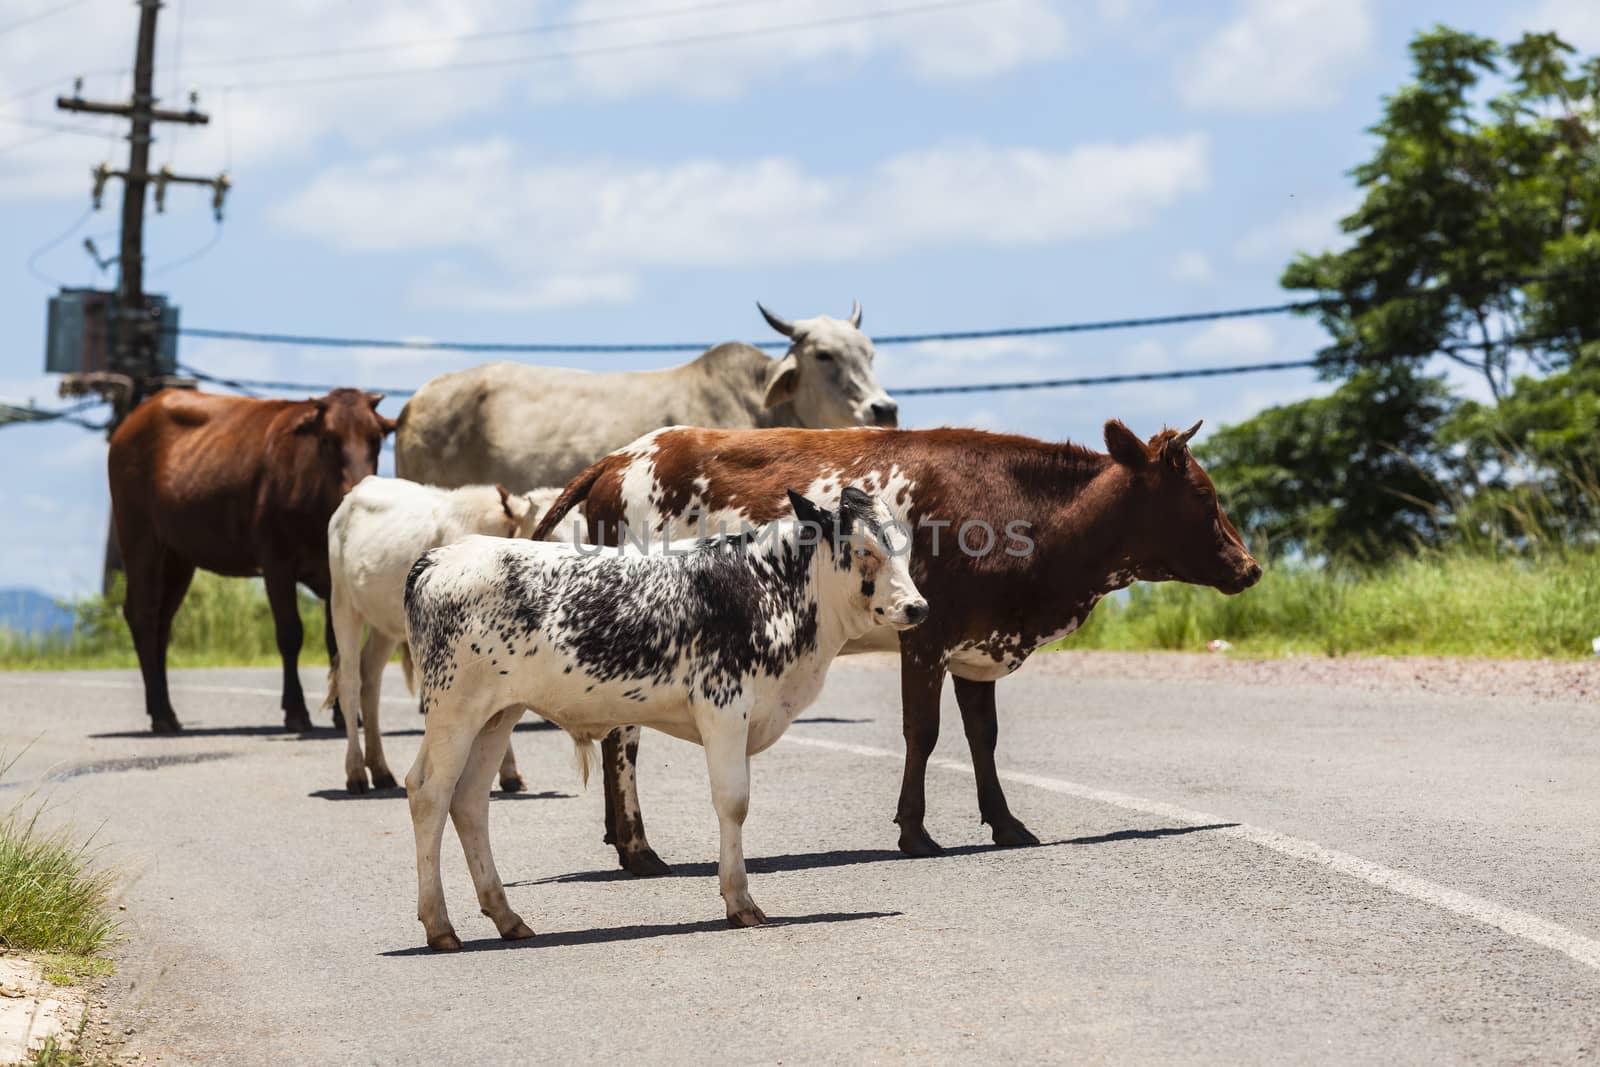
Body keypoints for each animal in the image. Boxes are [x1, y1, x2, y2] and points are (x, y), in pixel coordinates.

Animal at [108, 390, 393, 735]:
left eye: (376, 438)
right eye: (328, 438)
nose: (358, 487)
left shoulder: (331, 576)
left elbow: (337, 641)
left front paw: (344, 715)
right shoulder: (276, 562)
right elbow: (290, 634)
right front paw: (296, 712)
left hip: (178, 558)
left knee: (162, 624)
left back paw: (164, 712)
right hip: (139, 537)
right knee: (144, 615)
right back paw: (162, 715)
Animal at [324, 476, 569, 793]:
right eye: (550, 529)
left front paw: (508, 772)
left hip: (384, 627)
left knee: (371, 679)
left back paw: (380, 769)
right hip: (343, 604)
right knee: (350, 682)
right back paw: (355, 772)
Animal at [400, 489, 928, 947]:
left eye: (903, 547)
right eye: (863, 549)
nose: (916, 607)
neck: (768, 585)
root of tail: (442, 556)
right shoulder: (723, 708)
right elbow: (733, 803)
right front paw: (739, 901)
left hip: (496, 715)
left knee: (469, 801)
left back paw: (506, 916)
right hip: (454, 710)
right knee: (429, 793)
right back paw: (439, 926)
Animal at [534, 422, 1260, 870]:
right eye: (1202, 494)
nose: (1251, 567)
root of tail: (623, 455)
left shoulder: (977, 645)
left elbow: (982, 736)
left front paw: (1007, 824)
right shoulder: (926, 636)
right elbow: (924, 733)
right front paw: (915, 831)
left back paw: (623, 842)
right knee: (624, 740)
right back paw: (638, 849)